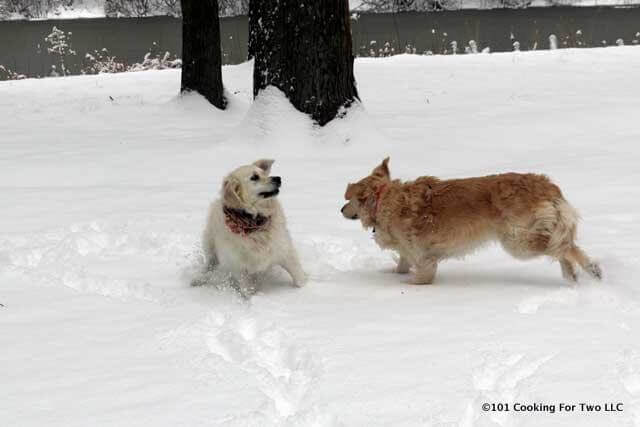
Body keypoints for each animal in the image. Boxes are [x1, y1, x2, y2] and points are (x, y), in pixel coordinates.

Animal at [201, 159, 308, 292]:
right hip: (211, 249)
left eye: (264, 173)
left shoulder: (285, 251)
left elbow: (299, 277)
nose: (278, 178)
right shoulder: (238, 267)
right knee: (209, 266)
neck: (254, 221)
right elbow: (247, 290)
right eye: (254, 177)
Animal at [342, 159, 604, 286]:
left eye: (348, 200)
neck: (384, 200)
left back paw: (591, 269)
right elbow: (401, 264)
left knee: (562, 247)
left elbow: (420, 276)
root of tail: (546, 186)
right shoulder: (407, 252)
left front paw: (407, 284)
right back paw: (572, 275)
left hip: (517, 241)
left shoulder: (424, 257)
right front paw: (390, 274)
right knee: (561, 248)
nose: (341, 210)